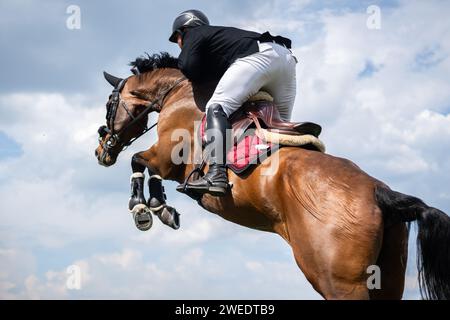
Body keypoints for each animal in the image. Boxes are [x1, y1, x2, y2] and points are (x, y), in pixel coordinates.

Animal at [95, 52, 450, 300]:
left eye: (109, 105)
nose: (101, 151)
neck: (178, 94)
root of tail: (380, 192)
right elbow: (143, 165)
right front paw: (159, 208)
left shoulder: (168, 157)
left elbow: (140, 162)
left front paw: (148, 208)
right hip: (387, 278)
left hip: (338, 280)